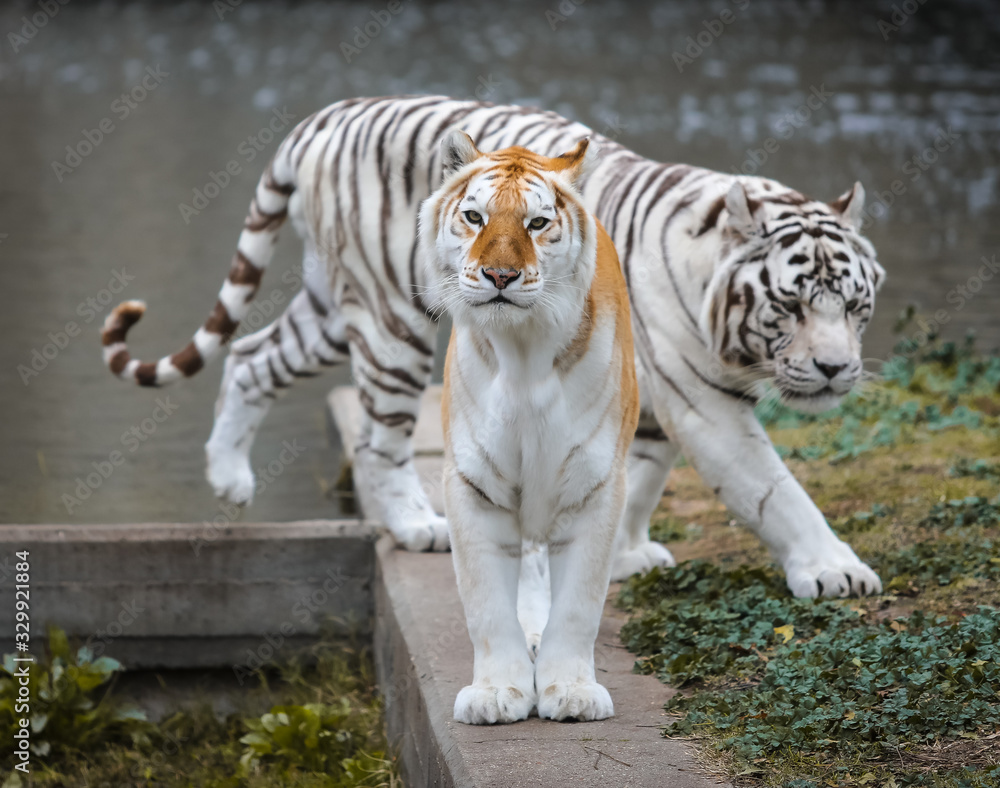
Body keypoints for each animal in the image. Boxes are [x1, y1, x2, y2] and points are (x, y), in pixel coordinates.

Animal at [102, 95, 885, 599]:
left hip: (329, 308)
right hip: (392, 321)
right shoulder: (704, 401)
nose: (836, 368)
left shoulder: (644, 393)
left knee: (250, 357)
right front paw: (834, 571)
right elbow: (772, 489)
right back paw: (417, 525)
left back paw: (230, 477)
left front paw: (622, 553)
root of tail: (324, 116)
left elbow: (636, 473)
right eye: (791, 303)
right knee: (379, 442)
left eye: (853, 304)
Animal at [424, 131, 637, 723]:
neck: (521, 350)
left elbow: (579, 604)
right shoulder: (473, 483)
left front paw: (573, 692)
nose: (500, 276)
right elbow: (487, 605)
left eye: (538, 223)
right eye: (474, 216)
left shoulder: (595, 482)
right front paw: (498, 692)